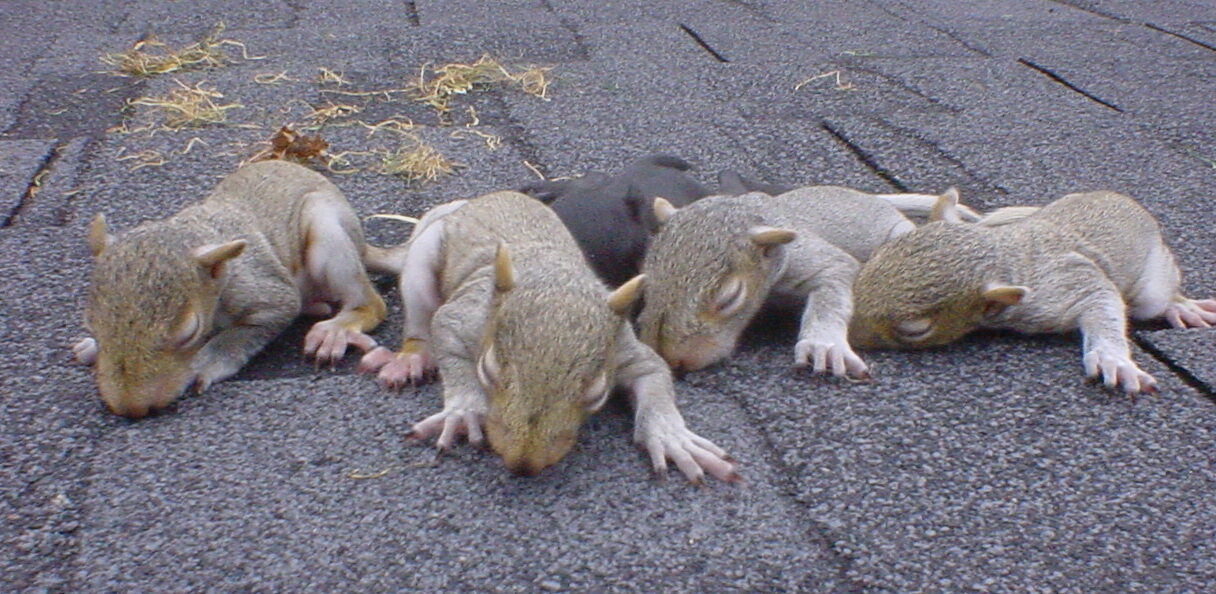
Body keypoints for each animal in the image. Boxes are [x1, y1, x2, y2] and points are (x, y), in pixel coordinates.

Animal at [74, 160, 388, 418]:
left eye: (189, 333)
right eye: (91, 326)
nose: (132, 408)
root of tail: (361, 245)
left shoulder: (262, 290)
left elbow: (245, 333)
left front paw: (205, 363)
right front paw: (90, 348)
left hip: (327, 229)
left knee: (370, 304)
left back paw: (335, 331)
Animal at [358, 191, 739, 483]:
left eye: (597, 393)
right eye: (489, 370)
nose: (523, 465)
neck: (553, 277)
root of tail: (474, 201)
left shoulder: (623, 348)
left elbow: (654, 373)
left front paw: (670, 435)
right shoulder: (465, 318)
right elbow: (445, 335)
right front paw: (464, 409)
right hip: (425, 256)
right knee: (421, 319)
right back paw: (411, 357)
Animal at [636, 186, 979, 378]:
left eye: (729, 298)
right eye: (646, 280)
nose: (672, 359)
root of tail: (873, 199)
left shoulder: (804, 254)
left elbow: (835, 277)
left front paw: (823, 344)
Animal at [849, 189, 1216, 396]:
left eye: (915, 329)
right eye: (875, 259)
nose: (849, 334)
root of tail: (1123, 199)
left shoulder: (1066, 284)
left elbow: (1102, 301)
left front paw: (1113, 359)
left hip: (1152, 286)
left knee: (1161, 297)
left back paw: (1181, 307)